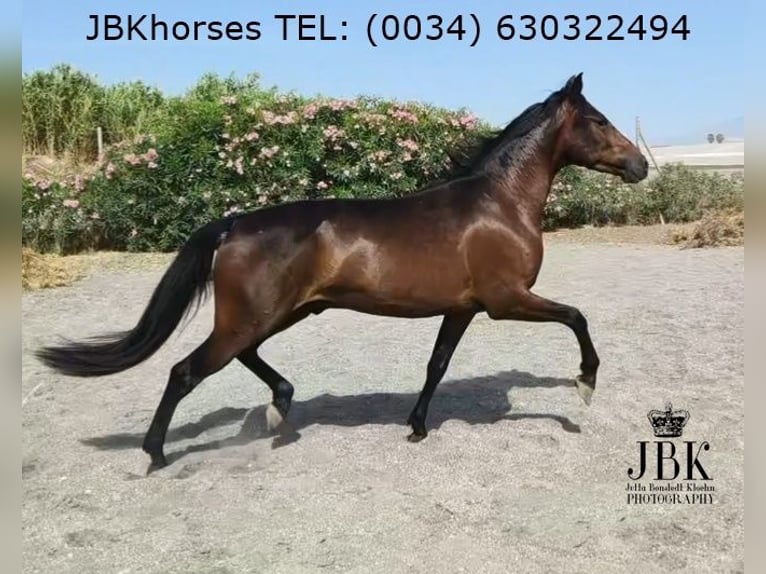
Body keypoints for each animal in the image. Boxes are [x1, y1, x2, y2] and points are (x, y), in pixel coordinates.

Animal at [36, 73, 648, 470]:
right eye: (598, 120)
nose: (640, 164)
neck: (498, 205)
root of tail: (233, 224)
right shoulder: (506, 299)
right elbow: (576, 317)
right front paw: (586, 383)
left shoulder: (463, 308)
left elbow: (437, 365)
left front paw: (416, 426)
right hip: (254, 316)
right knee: (185, 371)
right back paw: (157, 453)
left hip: (279, 312)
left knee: (243, 357)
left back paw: (281, 404)